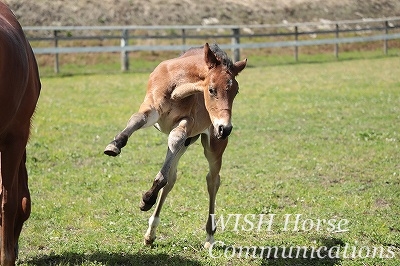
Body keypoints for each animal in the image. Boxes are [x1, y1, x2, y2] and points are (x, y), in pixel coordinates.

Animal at [104, 42, 245, 248]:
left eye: (236, 91)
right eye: (211, 90)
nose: (225, 128)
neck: (178, 86)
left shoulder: (186, 124)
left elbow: (175, 140)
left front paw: (146, 199)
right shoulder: (152, 108)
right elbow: (137, 119)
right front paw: (114, 145)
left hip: (213, 146)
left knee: (212, 181)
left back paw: (209, 237)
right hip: (188, 143)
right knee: (172, 179)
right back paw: (150, 234)